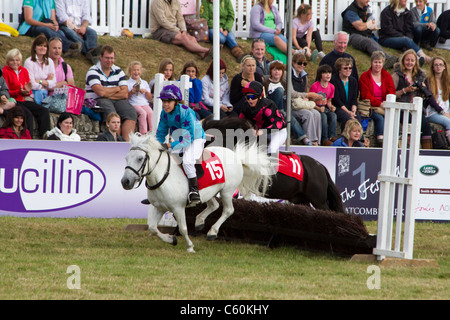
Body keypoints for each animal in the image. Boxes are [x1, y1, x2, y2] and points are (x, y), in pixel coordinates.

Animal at [119, 132, 272, 252]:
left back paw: (212, 232)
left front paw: (190, 247)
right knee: (214, 205)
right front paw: (171, 239)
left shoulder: (178, 208)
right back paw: (199, 221)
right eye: (126, 158)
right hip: (209, 192)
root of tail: (237, 157)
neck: (162, 176)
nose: (125, 182)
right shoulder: (158, 207)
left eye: (140, 158)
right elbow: (152, 227)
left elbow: (183, 228)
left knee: (228, 210)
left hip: (227, 191)